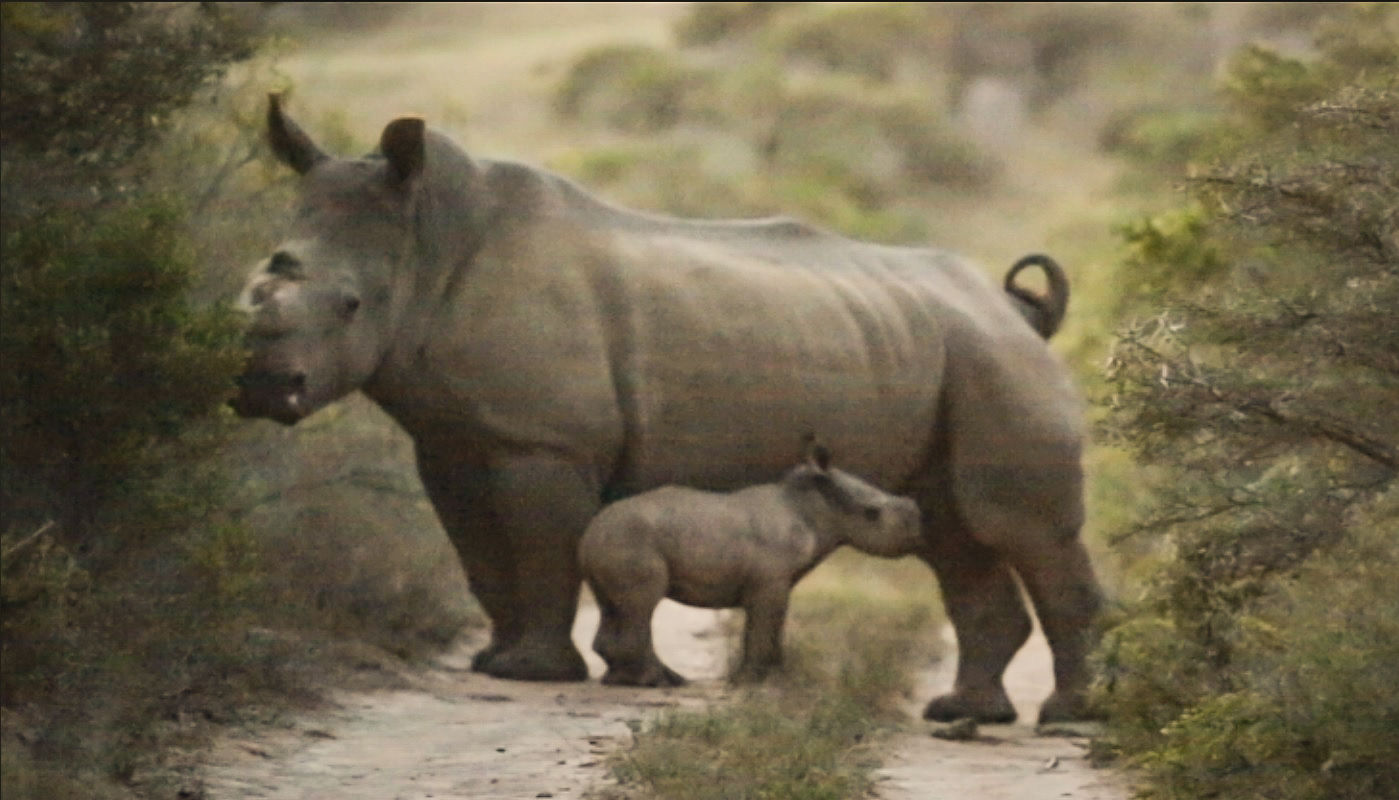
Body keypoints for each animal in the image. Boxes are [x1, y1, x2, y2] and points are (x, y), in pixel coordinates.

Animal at [573, 441, 923, 685]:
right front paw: (751, 682)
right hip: (631, 540)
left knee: (613, 605)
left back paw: (631, 680)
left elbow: (775, 626)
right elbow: (763, 626)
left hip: (611, 542)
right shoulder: (770, 580)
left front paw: (779, 679)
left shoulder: (779, 582)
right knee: (643, 602)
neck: (815, 509)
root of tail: (590, 533)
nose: (918, 529)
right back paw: (657, 683)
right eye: (872, 514)